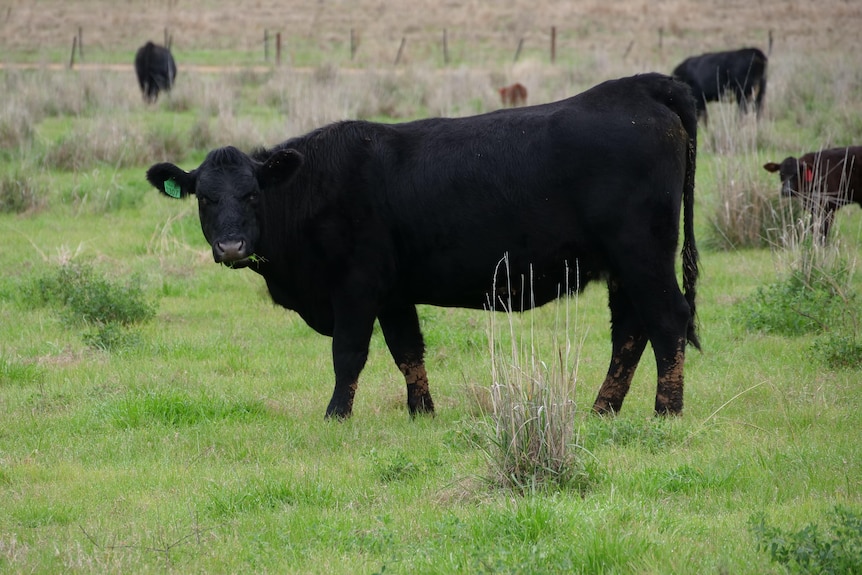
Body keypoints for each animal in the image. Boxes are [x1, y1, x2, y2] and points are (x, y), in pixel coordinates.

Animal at [147, 74, 704, 420]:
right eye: (204, 197)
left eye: (252, 194)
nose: (232, 245)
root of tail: (644, 86)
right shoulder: (395, 294)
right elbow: (407, 351)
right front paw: (422, 412)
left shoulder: (356, 286)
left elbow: (349, 353)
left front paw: (336, 415)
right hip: (620, 265)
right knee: (630, 332)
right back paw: (602, 410)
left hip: (641, 251)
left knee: (667, 320)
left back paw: (666, 412)